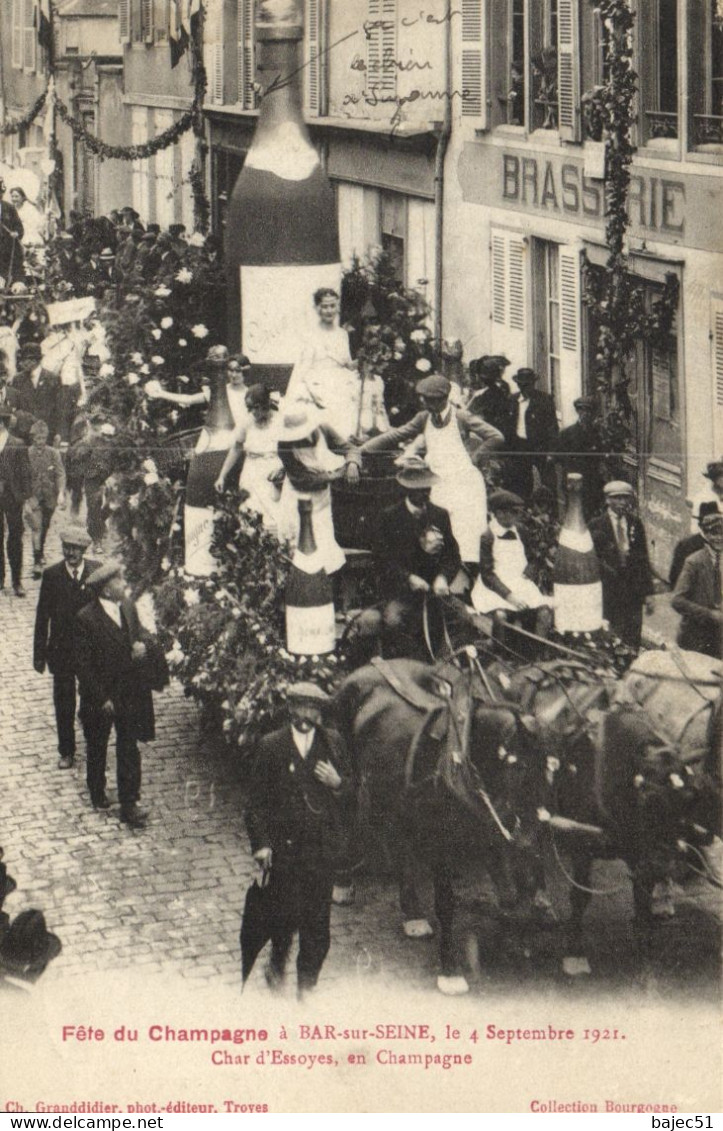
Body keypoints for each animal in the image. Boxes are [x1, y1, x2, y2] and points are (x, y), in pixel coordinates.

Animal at [330, 651, 545, 995]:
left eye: (548, 764)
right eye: (517, 765)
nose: (530, 836)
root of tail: (371, 664)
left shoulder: (487, 834)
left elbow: (510, 896)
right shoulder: (441, 844)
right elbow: (446, 904)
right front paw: (450, 970)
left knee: (398, 842)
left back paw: (413, 914)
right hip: (348, 771)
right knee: (347, 815)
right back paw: (343, 883)